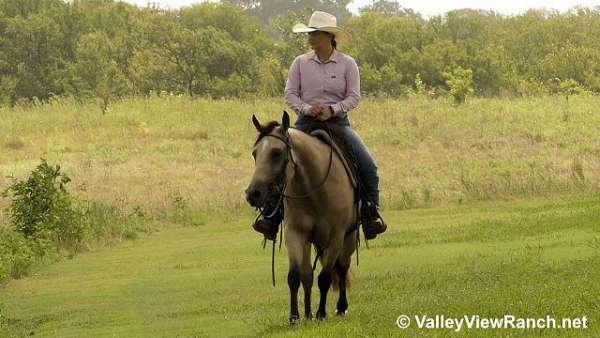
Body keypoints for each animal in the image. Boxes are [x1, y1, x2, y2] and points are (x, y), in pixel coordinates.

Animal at [243, 111, 356, 324]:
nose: (253, 194)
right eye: (255, 153)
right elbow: (295, 277)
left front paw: (321, 314)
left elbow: (325, 277)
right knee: (307, 274)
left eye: (276, 152)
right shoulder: (295, 234)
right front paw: (295, 317)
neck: (315, 189)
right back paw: (308, 313)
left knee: (342, 268)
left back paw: (340, 307)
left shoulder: (335, 238)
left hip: (349, 238)